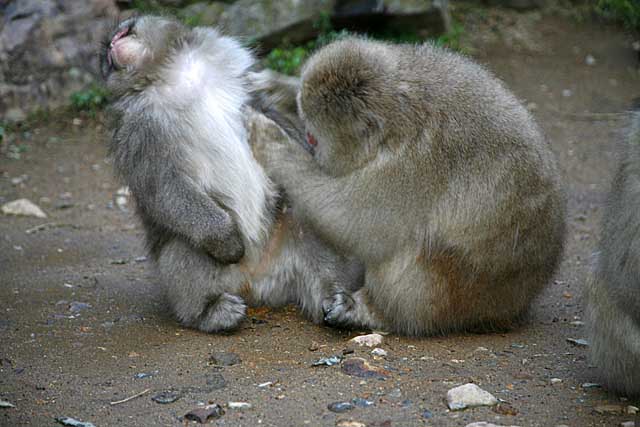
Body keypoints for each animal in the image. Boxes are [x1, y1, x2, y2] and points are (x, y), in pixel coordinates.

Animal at [99, 15, 360, 332]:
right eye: (107, 57)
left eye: (122, 33)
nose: (112, 47)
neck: (172, 74)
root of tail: (257, 281)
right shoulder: (138, 126)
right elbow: (163, 184)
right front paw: (227, 242)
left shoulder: (228, 57)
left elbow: (267, 103)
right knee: (183, 238)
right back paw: (208, 311)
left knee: (306, 214)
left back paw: (332, 297)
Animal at [252, 37, 568, 338]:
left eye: (313, 139)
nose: (311, 149)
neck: (401, 109)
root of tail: (519, 303)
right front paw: (276, 85)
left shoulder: (410, 167)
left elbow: (355, 224)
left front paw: (272, 142)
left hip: (461, 297)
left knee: (413, 249)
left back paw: (375, 312)